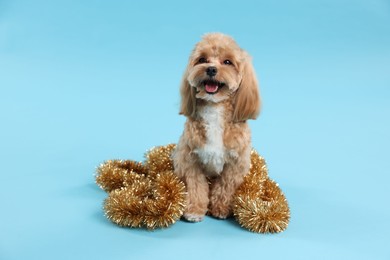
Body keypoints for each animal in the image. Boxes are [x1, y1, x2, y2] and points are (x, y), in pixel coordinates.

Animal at [173, 33, 258, 222]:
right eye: (202, 59)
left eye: (227, 62)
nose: (211, 69)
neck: (214, 109)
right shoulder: (190, 160)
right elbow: (197, 187)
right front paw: (195, 210)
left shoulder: (235, 164)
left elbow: (225, 187)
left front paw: (220, 208)